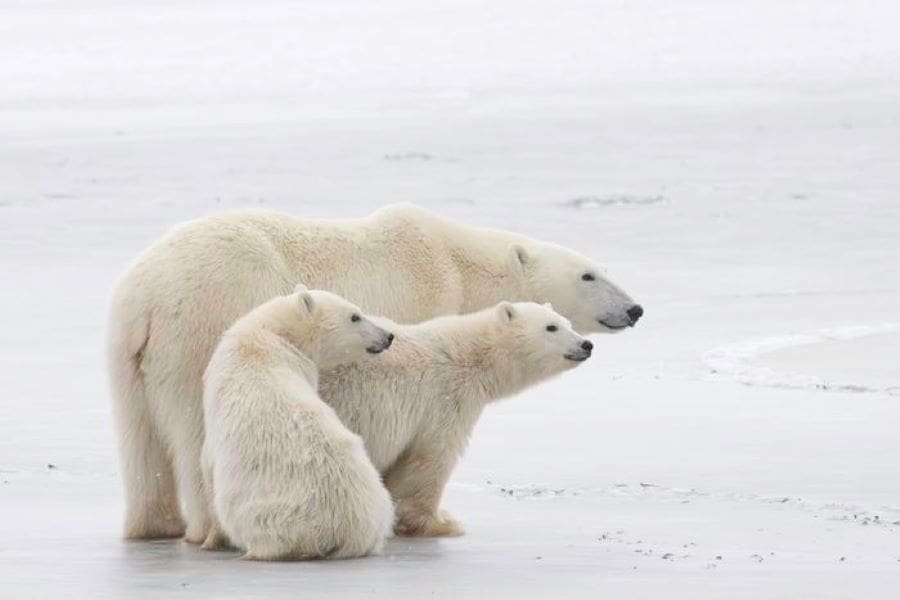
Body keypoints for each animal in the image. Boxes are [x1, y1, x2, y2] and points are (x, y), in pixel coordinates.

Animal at [109, 203, 644, 544]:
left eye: (602, 268)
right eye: (588, 275)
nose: (635, 309)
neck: (457, 265)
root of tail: (147, 296)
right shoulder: (423, 297)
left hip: (126, 353)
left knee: (140, 437)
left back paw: (156, 525)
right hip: (204, 322)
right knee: (196, 428)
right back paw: (209, 528)